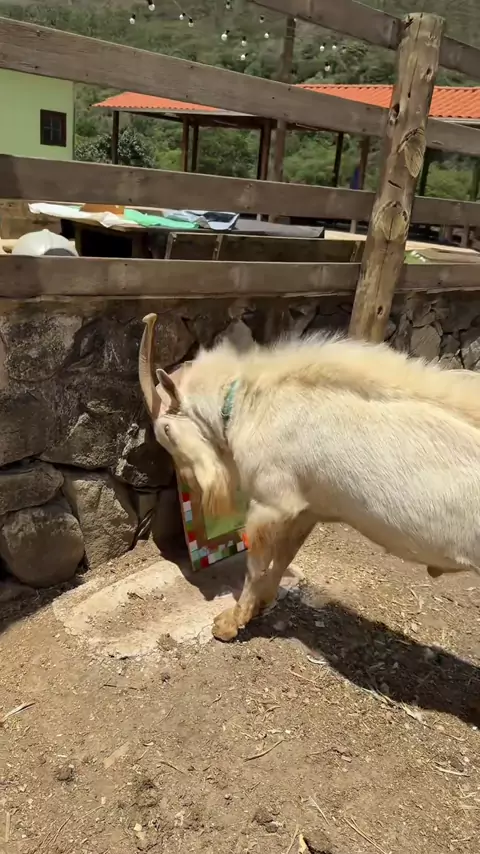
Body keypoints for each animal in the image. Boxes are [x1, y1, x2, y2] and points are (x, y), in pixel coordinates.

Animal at [139, 313, 480, 641]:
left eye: (166, 430)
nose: (191, 483)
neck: (250, 405)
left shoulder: (270, 501)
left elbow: (256, 563)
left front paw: (230, 623)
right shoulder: (308, 505)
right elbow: (285, 555)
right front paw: (262, 603)